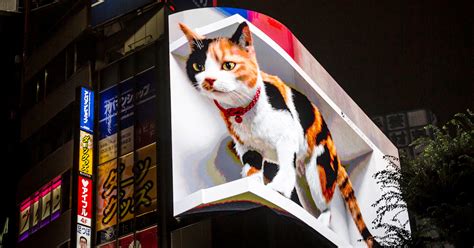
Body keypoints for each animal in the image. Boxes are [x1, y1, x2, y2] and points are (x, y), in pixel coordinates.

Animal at [181, 22, 378, 247]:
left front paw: (278, 189)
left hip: (318, 172)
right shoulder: (246, 146)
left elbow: (284, 163)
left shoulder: (287, 135)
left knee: (326, 206)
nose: (209, 80)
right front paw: (254, 186)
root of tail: (334, 150)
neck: (242, 111)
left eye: (228, 65)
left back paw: (320, 222)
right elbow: (252, 167)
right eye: (199, 67)